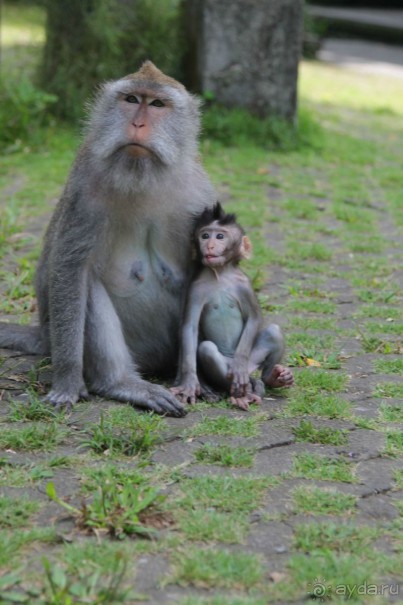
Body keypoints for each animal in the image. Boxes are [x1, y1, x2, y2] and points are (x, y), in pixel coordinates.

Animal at [0, 63, 218, 418]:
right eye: (131, 99)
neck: (141, 177)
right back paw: (120, 383)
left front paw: (197, 379)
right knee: (88, 286)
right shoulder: (84, 189)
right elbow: (71, 270)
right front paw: (68, 383)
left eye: (157, 104)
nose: (138, 124)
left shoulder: (201, 197)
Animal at [171, 204, 294, 410]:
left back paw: (272, 377)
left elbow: (254, 318)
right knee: (207, 350)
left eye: (220, 236)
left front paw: (240, 365)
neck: (220, 275)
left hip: (252, 360)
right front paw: (189, 383)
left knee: (273, 331)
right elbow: (189, 327)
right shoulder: (196, 288)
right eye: (205, 236)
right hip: (225, 367)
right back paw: (243, 393)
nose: (210, 246)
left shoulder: (244, 284)